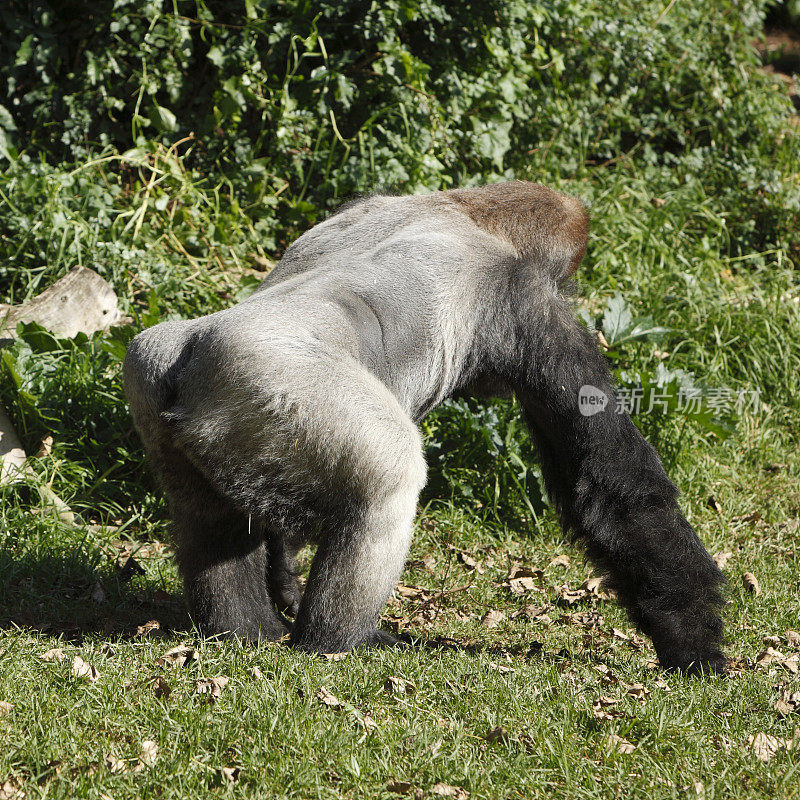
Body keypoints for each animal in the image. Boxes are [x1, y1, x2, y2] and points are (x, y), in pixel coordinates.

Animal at [123, 181, 724, 676]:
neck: (469, 209)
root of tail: (189, 352)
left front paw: (285, 575)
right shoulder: (527, 300)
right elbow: (610, 482)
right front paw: (691, 635)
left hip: (156, 385)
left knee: (206, 514)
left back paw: (242, 631)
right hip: (267, 377)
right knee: (389, 480)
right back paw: (336, 642)